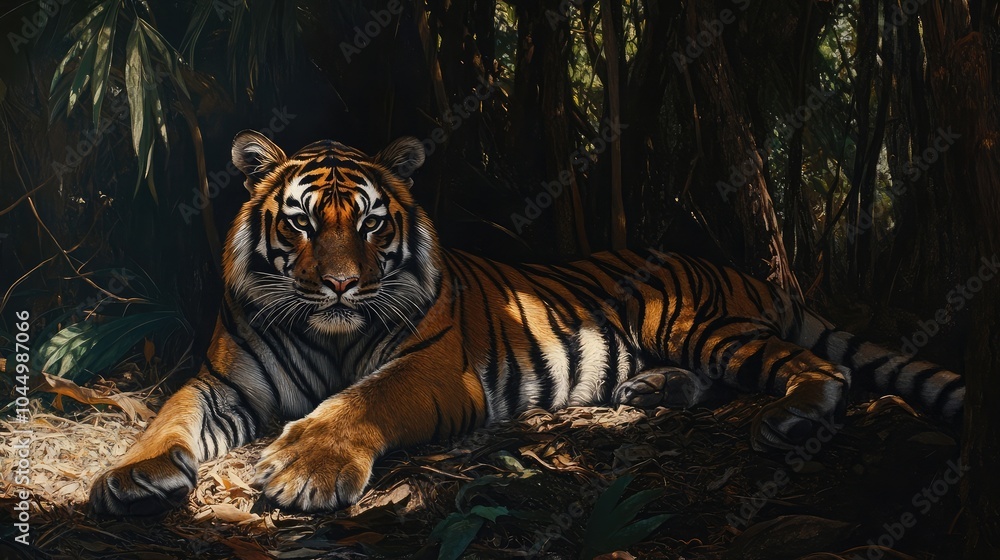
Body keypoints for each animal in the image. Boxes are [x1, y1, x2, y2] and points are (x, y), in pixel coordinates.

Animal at [89, 131, 965, 515]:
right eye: (302, 225)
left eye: (371, 224)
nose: (339, 286)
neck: (328, 334)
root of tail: (743, 269)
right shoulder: (222, 382)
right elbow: (170, 414)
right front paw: (133, 474)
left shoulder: (433, 368)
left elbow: (360, 401)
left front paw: (307, 467)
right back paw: (651, 392)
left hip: (699, 324)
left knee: (819, 367)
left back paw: (791, 417)